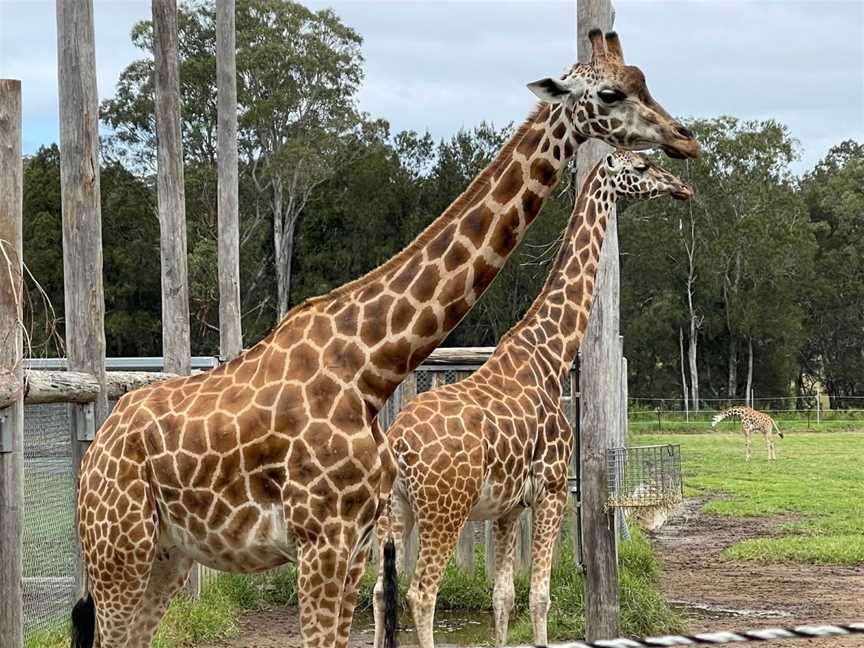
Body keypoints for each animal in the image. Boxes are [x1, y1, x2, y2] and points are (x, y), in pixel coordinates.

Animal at [374, 152, 692, 648]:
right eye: (640, 166)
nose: (681, 188)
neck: (551, 355)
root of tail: (398, 446)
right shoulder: (553, 489)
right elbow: (539, 597)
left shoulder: (508, 507)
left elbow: (502, 597)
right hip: (444, 510)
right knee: (420, 595)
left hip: (396, 511)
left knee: (376, 594)